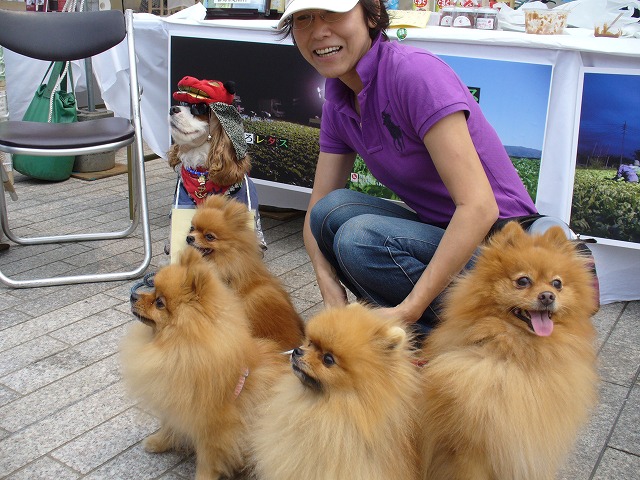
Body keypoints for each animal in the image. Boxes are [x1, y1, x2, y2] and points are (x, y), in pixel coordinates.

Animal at [120, 248, 287, 480]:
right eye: (152, 290)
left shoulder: (213, 429)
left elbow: (207, 462)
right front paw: (158, 442)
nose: (133, 295)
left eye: (159, 303)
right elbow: (169, 424)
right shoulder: (178, 402)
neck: (177, 348)